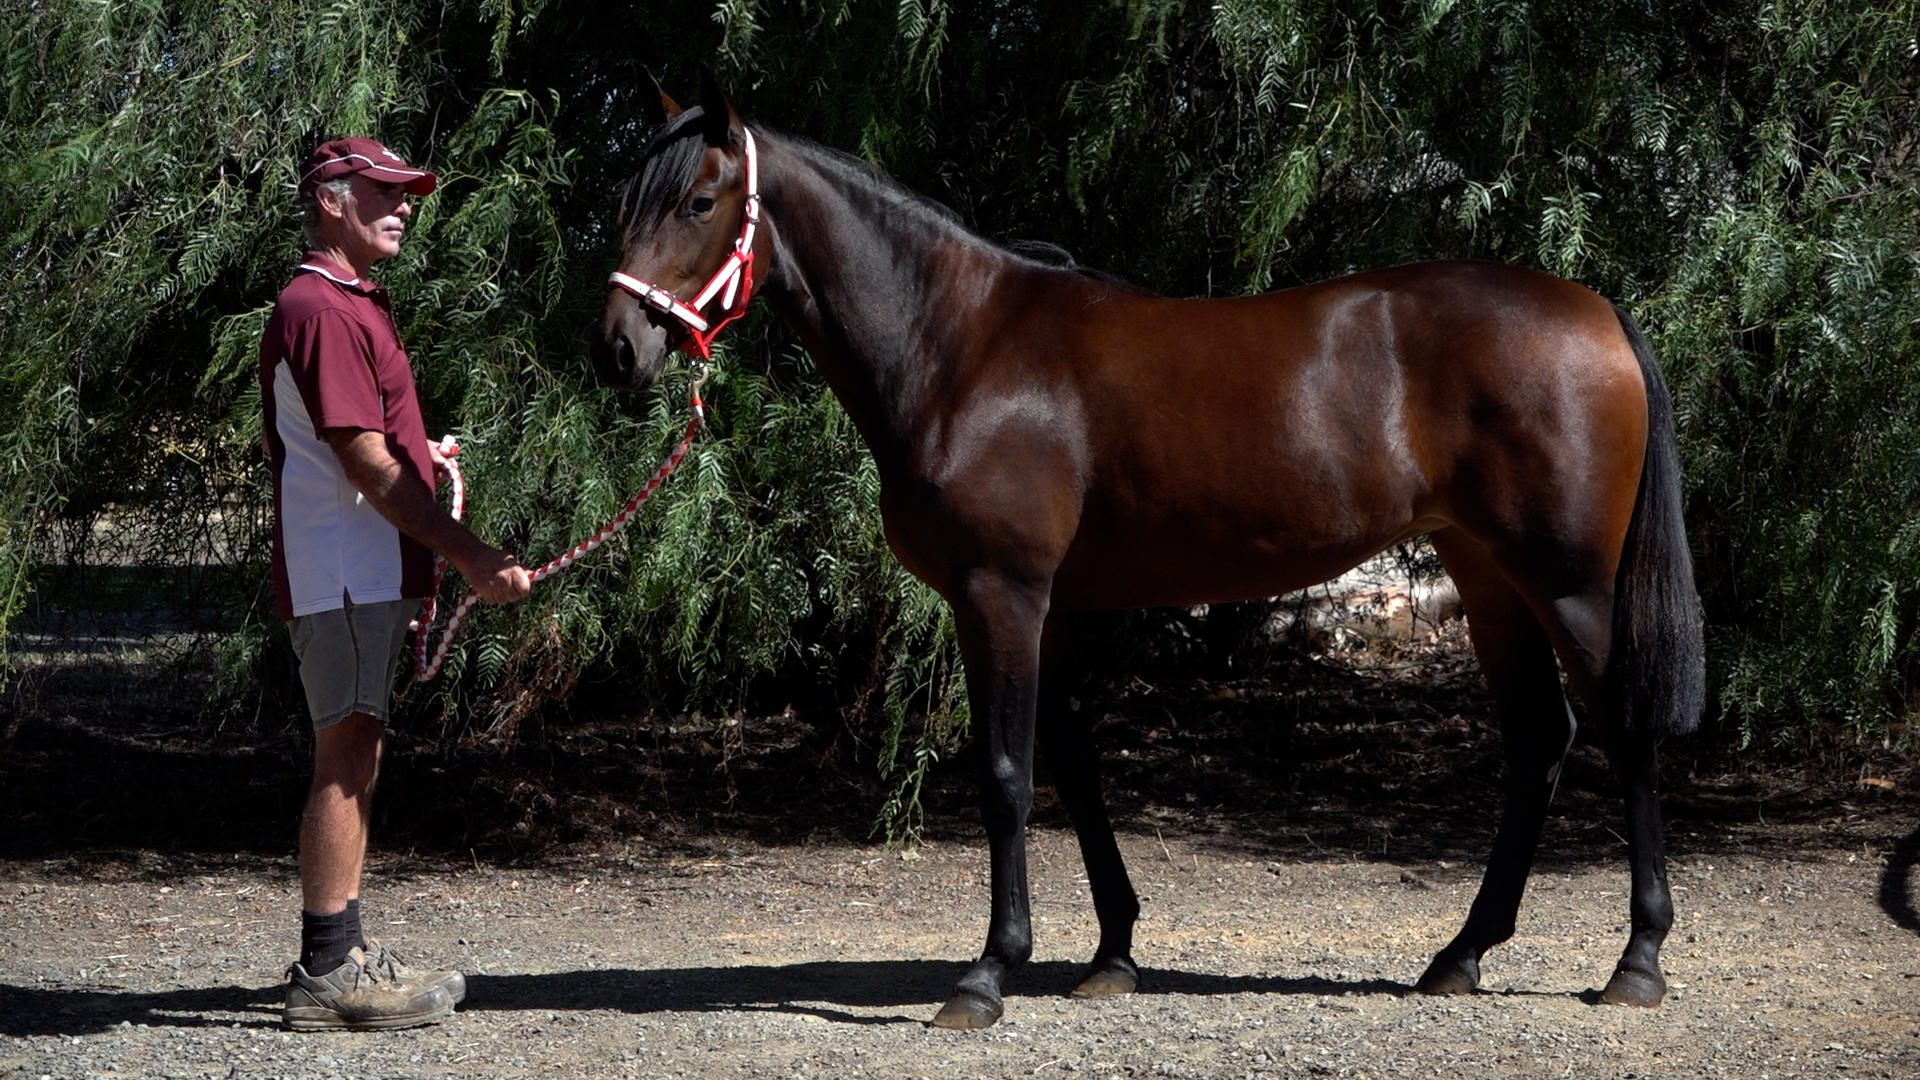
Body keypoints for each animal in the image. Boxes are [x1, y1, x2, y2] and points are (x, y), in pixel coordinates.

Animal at [590, 69, 1705, 1030]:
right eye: (628, 199)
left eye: (699, 200)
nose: (615, 349)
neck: (960, 346)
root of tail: (1596, 309)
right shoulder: (1049, 606)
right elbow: (1073, 763)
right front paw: (1112, 954)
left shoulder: (1001, 594)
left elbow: (1006, 770)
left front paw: (987, 974)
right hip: (1488, 576)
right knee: (1541, 741)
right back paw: (1460, 955)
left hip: (1569, 584)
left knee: (1624, 730)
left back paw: (1636, 963)